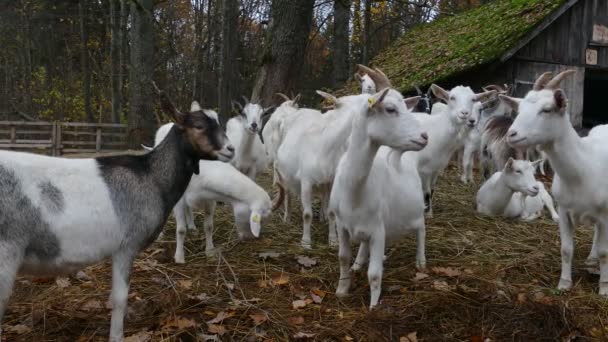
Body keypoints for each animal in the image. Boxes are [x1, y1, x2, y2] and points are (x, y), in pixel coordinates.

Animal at [0, 87, 235, 340]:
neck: (151, 176)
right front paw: (117, 335)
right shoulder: (126, 246)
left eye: (218, 122)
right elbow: (120, 299)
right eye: (199, 126)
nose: (230, 150)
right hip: (6, 254)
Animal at [330, 89, 430, 308]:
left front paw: (374, 306)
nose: (425, 136)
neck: (355, 192)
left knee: (421, 229)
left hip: (416, 209)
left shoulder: (378, 229)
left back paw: (421, 261)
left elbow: (374, 274)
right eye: (390, 109)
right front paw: (341, 289)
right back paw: (359, 262)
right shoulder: (342, 225)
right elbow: (342, 257)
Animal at [504, 70, 608, 296]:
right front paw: (564, 284)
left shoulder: (605, 214)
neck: (583, 169)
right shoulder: (564, 210)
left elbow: (606, 252)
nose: (511, 134)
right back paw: (591, 260)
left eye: (547, 109)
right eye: (520, 109)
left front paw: (604, 289)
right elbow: (566, 249)